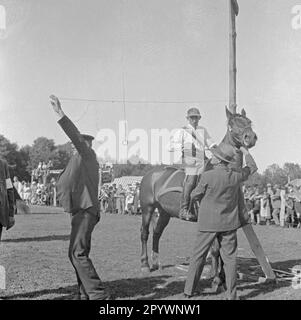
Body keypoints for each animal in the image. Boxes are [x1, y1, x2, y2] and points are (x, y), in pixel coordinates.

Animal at [139, 106, 256, 284]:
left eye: (249, 121)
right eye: (232, 124)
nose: (251, 137)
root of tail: (149, 175)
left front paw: (222, 275)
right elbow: (215, 249)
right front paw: (215, 276)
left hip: (165, 213)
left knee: (157, 233)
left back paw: (156, 263)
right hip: (147, 209)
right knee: (145, 233)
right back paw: (145, 265)